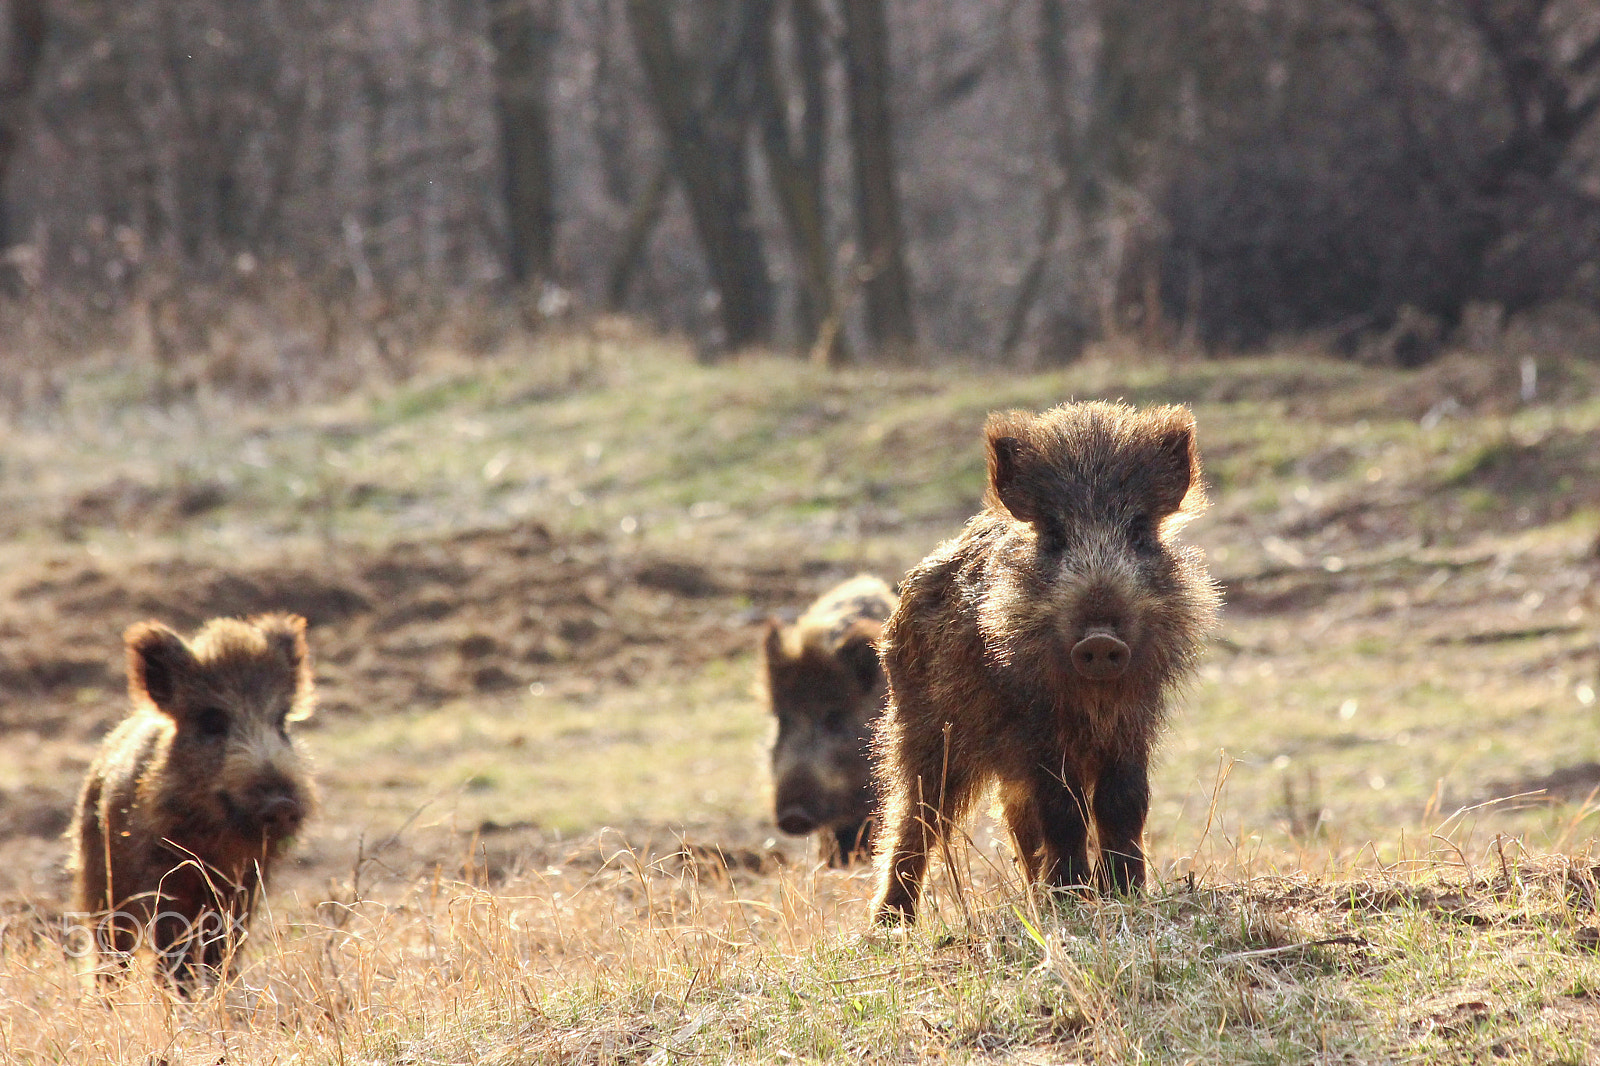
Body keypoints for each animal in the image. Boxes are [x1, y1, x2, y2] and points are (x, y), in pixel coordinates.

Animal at [67, 613, 318, 990]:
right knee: (111, 948)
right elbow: (173, 946)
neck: (214, 841)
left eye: (281, 722)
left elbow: (225, 946)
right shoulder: (164, 876)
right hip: (100, 876)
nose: (282, 804)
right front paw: (179, 993)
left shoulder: (246, 884)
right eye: (212, 721)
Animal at [870, 402, 1220, 923]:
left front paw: (1125, 893)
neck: (1090, 699)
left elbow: (1125, 803)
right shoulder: (1032, 725)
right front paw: (1072, 900)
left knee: (1014, 822)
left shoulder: (1135, 716)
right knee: (916, 817)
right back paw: (892, 924)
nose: (1100, 639)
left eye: (1139, 532)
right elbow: (1063, 809)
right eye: (1054, 536)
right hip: (921, 731)